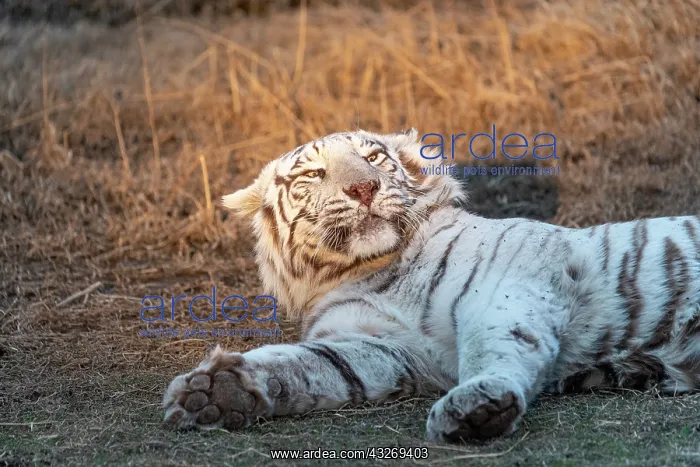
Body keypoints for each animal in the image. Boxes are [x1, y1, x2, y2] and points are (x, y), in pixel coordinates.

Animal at [162, 128, 700, 443]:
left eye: (374, 158)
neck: (369, 270)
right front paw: (217, 394)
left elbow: (494, 340)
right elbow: (310, 366)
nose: (363, 188)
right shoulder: (386, 349)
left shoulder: (523, 270)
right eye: (314, 173)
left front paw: (478, 405)